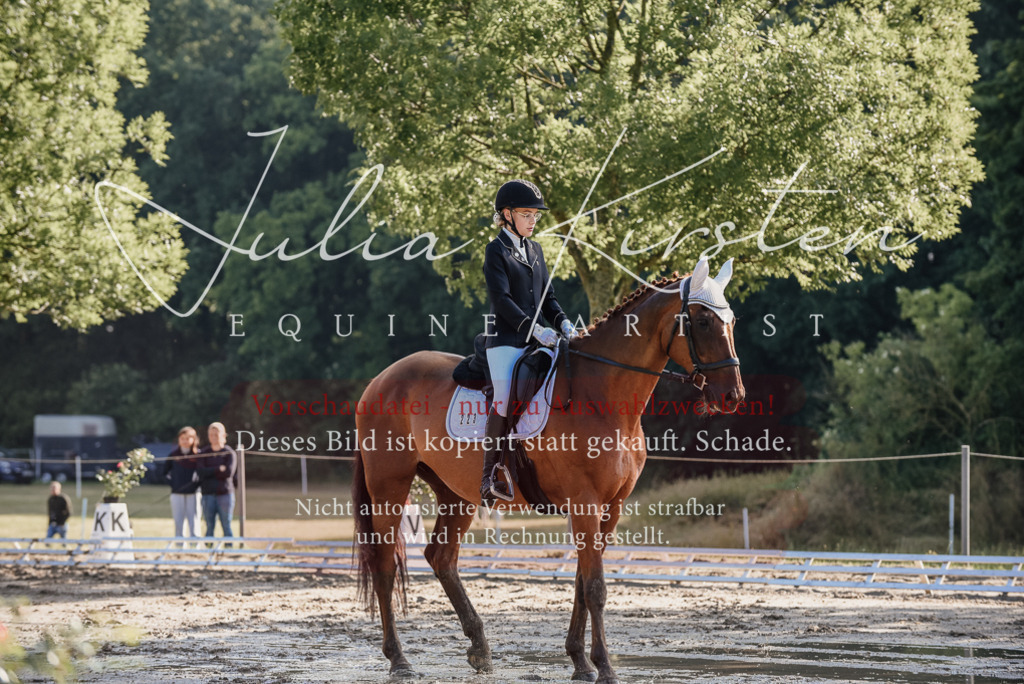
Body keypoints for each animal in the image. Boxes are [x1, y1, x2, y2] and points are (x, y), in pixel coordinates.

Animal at [352, 257, 744, 683]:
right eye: (702, 321)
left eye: (732, 321)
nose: (733, 396)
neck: (603, 395)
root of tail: (379, 380)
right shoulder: (585, 502)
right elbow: (595, 587)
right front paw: (604, 667)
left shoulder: (611, 507)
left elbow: (581, 581)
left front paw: (580, 662)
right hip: (390, 486)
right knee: (384, 563)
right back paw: (399, 660)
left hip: (457, 494)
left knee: (442, 557)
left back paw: (479, 649)